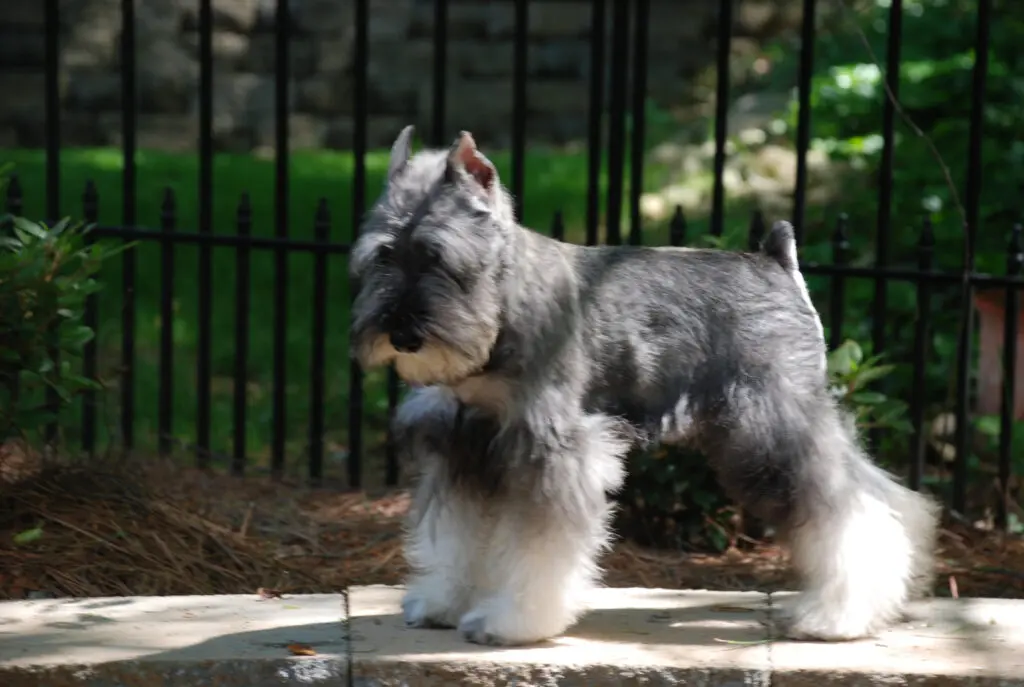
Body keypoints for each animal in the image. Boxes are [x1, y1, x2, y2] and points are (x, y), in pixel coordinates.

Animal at [348, 126, 937, 647]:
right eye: (382, 255)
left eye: (439, 256)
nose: (401, 334)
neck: (502, 308)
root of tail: (777, 260)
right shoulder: (463, 443)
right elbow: (456, 537)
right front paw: (443, 602)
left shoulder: (553, 448)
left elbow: (539, 546)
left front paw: (512, 621)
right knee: (877, 493)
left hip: (772, 428)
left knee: (849, 512)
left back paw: (836, 617)